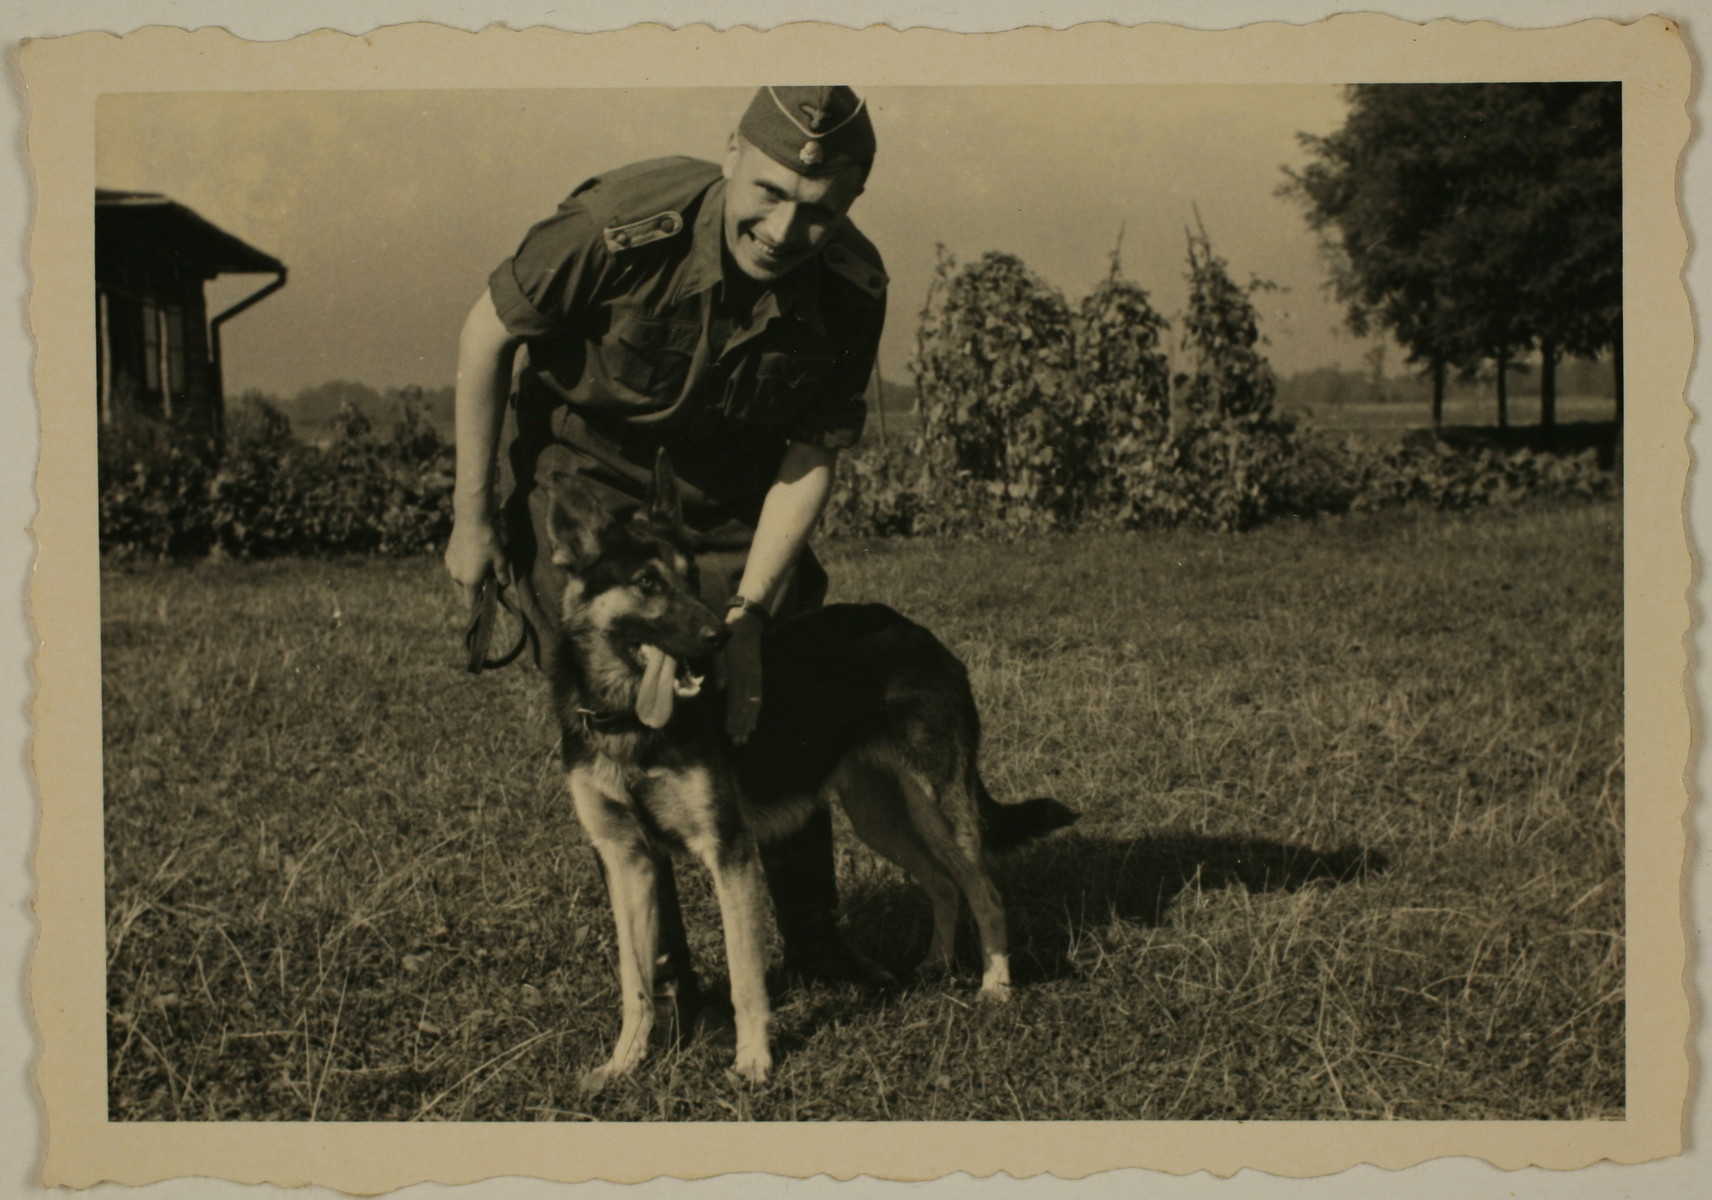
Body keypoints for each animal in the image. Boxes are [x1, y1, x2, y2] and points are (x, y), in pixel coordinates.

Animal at [540, 451, 1075, 1088]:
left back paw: (996, 987)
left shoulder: (728, 852)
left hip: (937, 812)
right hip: (882, 818)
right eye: (647, 582)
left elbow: (746, 976)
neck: (628, 724)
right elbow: (637, 981)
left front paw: (753, 1061)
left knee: (985, 892)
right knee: (945, 885)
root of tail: (923, 637)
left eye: (693, 577)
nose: (717, 638)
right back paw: (937, 964)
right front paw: (623, 1062)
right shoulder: (627, 862)